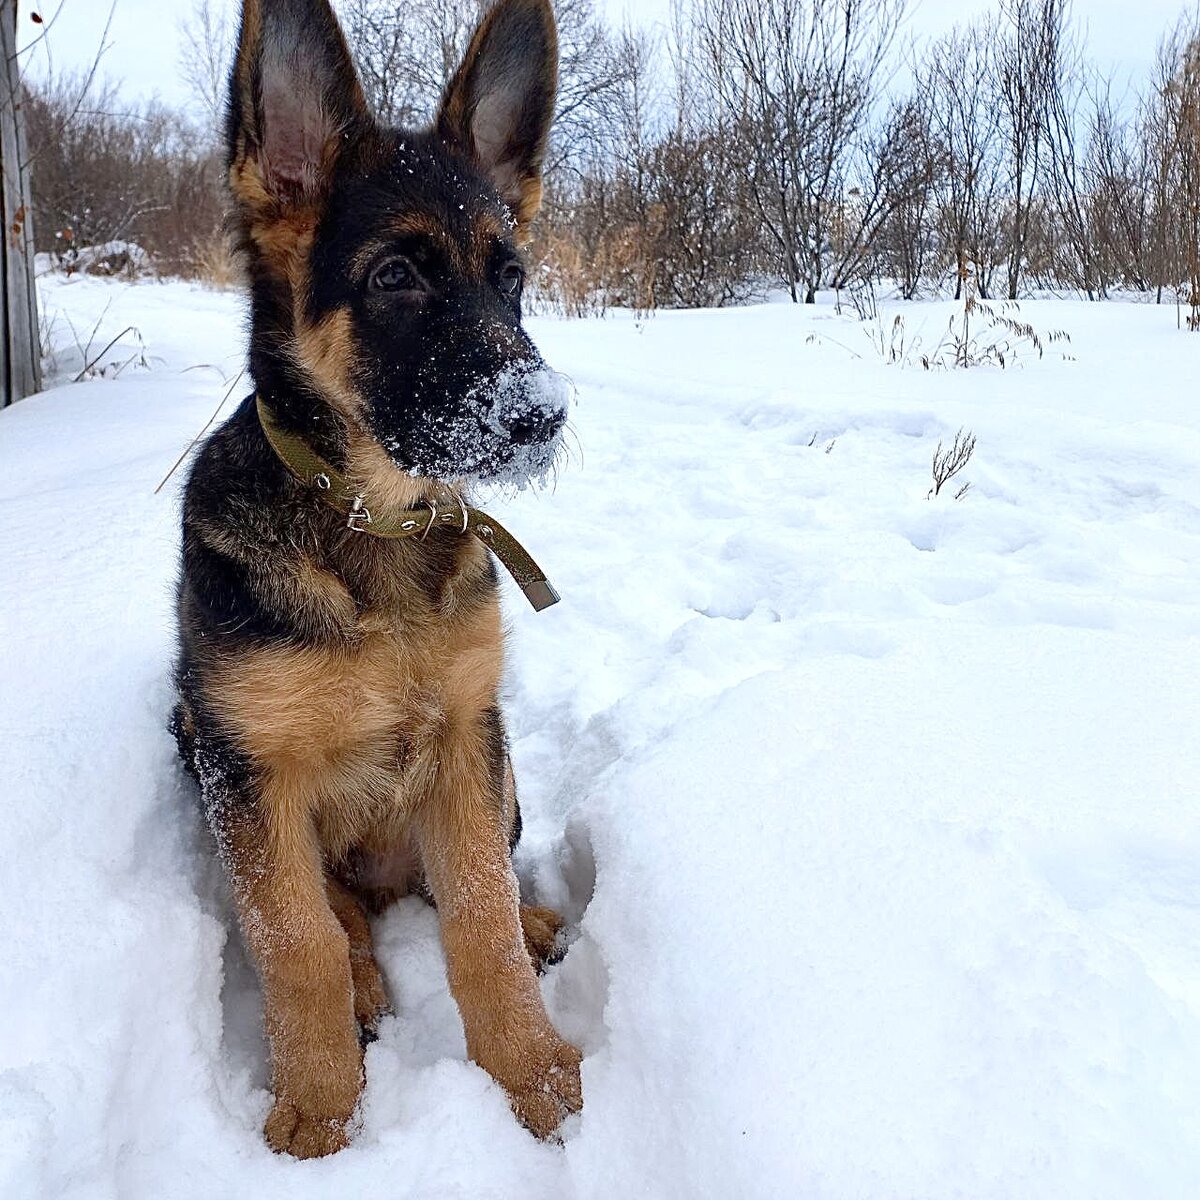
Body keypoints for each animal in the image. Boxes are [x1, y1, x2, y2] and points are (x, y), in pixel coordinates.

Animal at [171, 0, 578, 1156]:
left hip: (503, 779)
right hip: (193, 745)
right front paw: (316, 1105)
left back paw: (537, 922)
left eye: (511, 278)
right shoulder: (250, 774)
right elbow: (295, 937)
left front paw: (533, 1074)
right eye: (396, 276)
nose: (542, 419)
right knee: (339, 916)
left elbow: (478, 910)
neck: (374, 519)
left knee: (468, 886)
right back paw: (361, 982)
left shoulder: (468, 733)